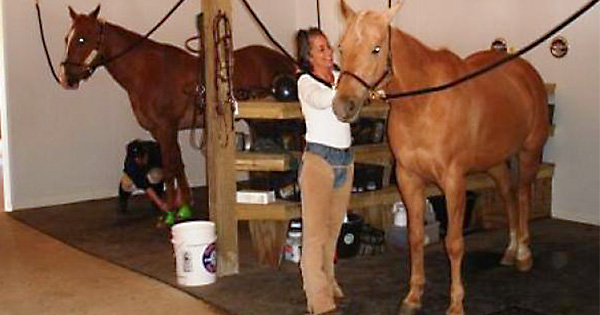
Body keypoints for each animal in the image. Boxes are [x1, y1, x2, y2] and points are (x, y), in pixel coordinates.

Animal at [60, 5, 296, 212]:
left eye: (82, 39)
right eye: (66, 38)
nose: (68, 77)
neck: (146, 71)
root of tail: (285, 60)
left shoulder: (166, 127)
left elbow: (170, 166)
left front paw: (171, 212)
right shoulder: (160, 130)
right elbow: (176, 164)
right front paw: (183, 205)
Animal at [336, 1, 552, 314]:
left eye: (376, 48)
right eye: (341, 47)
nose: (343, 106)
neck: (423, 104)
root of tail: (526, 72)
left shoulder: (453, 182)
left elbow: (454, 243)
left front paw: (456, 303)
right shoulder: (408, 178)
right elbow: (415, 239)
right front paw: (413, 297)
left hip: (529, 153)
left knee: (523, 197)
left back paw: (523, 255)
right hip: (496, 163)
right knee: (510, 197)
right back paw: (511, 251)